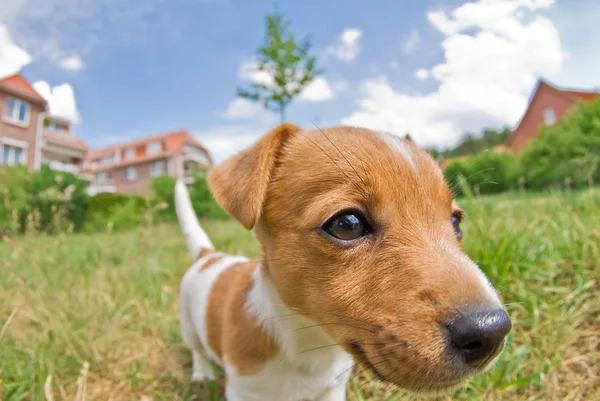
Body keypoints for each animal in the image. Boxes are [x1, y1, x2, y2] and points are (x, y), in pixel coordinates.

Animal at [175, 123, 510, 400]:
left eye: (455, 222)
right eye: (347, 224)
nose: (492, 331)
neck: (308, 345)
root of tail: (208, 255)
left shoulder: (332, 390)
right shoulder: (246, 392)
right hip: (189, 326)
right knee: (196, 350)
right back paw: (201, 373)